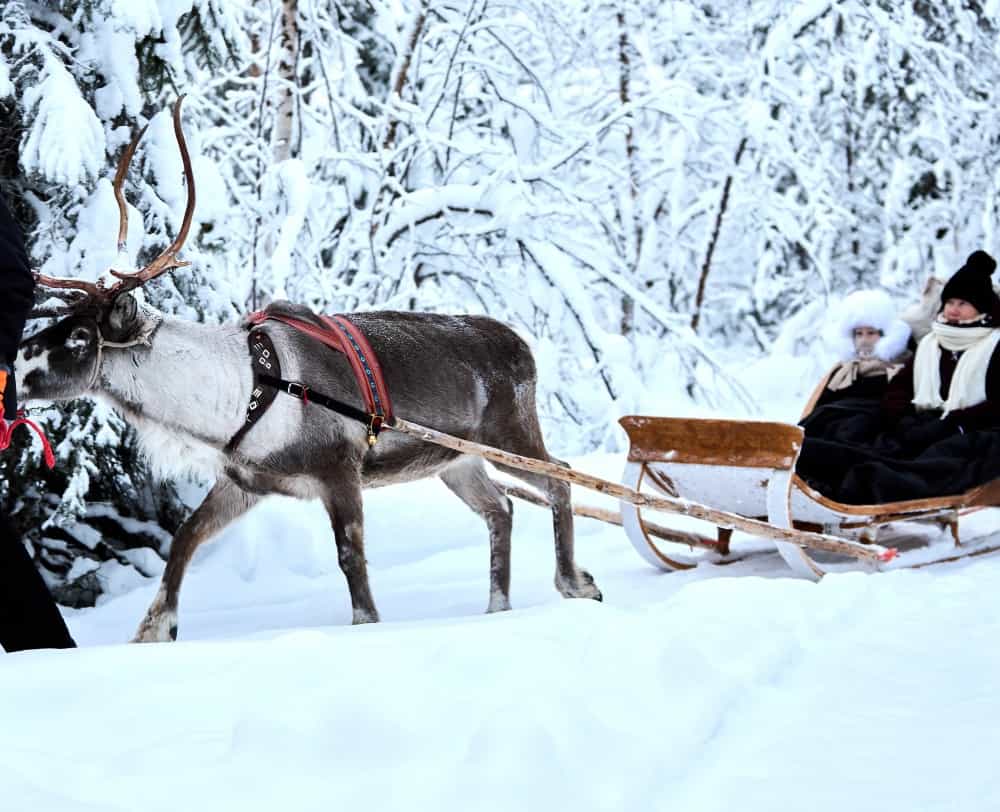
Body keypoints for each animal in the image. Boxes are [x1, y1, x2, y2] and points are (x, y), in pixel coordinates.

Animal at [16, 99, 601, 643]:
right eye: (61, 320)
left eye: (79, 337)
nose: (16, 362)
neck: (236, 395)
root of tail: (523, 346)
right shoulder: (245, 482)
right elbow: (183, 538)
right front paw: (154, 629)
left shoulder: (339, 470)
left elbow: (351, 558)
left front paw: (367, 624)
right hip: (456, 461)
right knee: (501, 508)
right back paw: (498, 607)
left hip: (508, 434)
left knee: (560, 478)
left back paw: (576, 583)